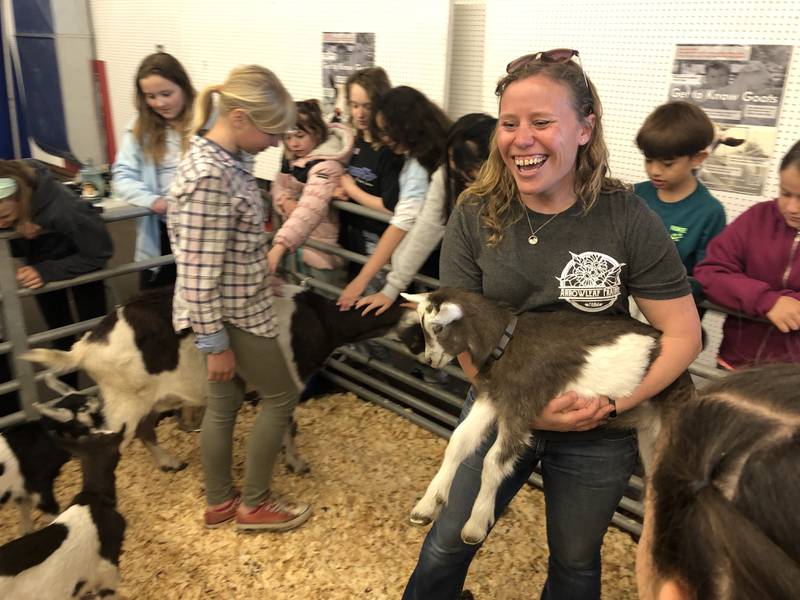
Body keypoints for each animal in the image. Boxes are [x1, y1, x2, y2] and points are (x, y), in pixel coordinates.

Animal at [21, 286, 416, 474]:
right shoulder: (289, 382)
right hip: (124, 404)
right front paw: (297, 463)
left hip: (147, 398)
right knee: (107, 444)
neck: (317, 319)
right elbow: (290, 426)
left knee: (146, 431)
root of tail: (85, 346)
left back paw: (169, 462)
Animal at [400, 288, 692, 548]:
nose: (430, 360)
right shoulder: (493, 398)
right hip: (650, 437)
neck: (506, 342)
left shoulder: (522, 406)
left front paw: (475, 525)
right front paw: (427, 506)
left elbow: (493, 461)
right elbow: (459, 442)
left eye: (438, 328)